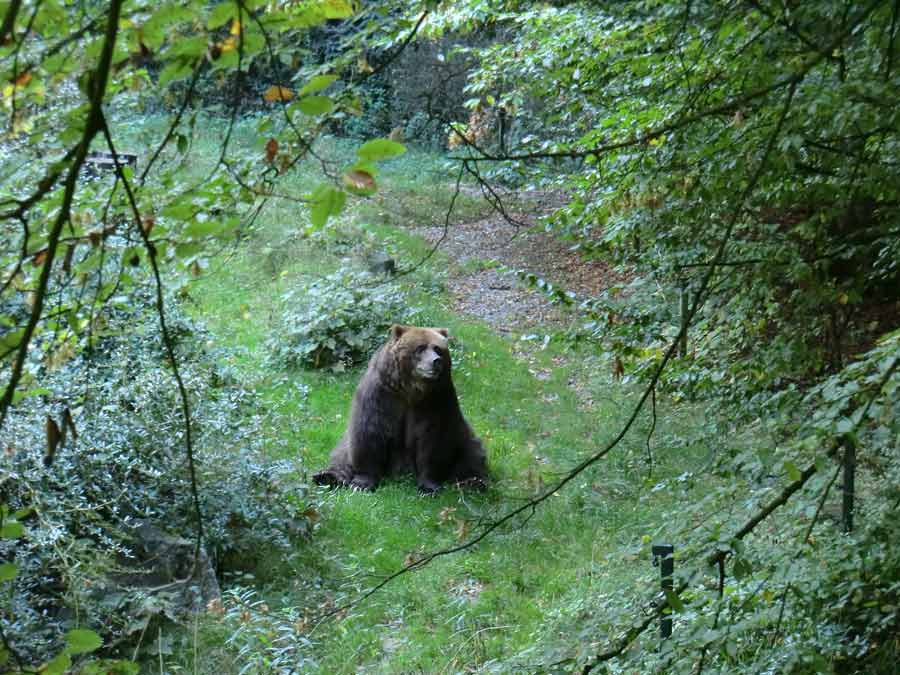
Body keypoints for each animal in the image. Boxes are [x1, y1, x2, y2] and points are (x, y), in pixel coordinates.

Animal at [312, 324, 488, 494]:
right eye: (420, 347)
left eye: (438, 348)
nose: (436, 361)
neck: (409, 391)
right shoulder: (380, 395)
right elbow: (369, 432)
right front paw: (362, 482)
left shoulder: (436, 399)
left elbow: (433, 439)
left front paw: (429, 485)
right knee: (341, 454)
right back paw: (326, 476)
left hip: (463, 437)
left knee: (472, 455)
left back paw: (473, 483)